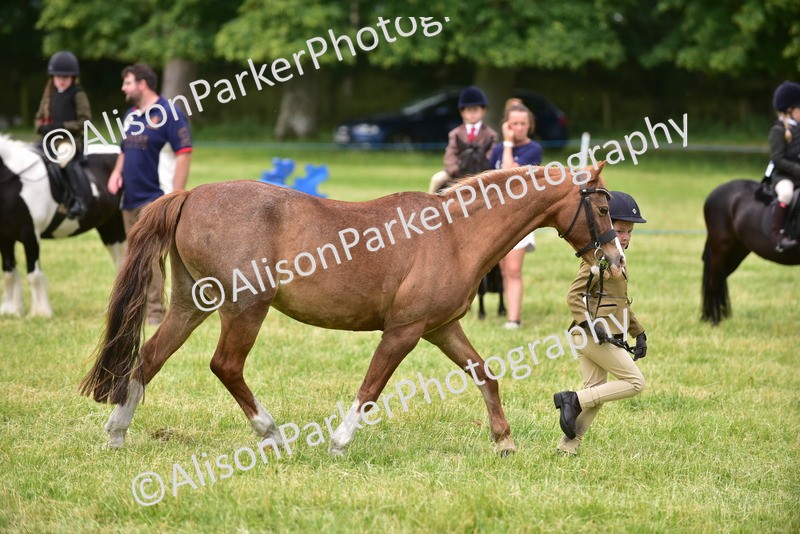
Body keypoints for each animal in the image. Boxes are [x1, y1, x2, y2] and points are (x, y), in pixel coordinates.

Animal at [0, 135, 125, 317]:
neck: (14, 179)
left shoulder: (30, 235)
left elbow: (33, 275)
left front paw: (40, 313)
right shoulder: (4, 237)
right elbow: (8, 273)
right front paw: (11, 310)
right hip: (109, 226)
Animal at [79, 162, 624, 456]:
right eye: (600, 208)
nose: (615, 259)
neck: (453, 234)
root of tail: (191, 194)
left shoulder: (442, 328)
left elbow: (484, 374)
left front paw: (504, 442)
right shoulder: (404, 331)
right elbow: (370, 389)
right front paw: (340, 441)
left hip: (191, 304)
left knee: (150, 358)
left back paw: (117, 434)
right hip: (246, 307)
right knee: (225, 365)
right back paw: (272, 435)